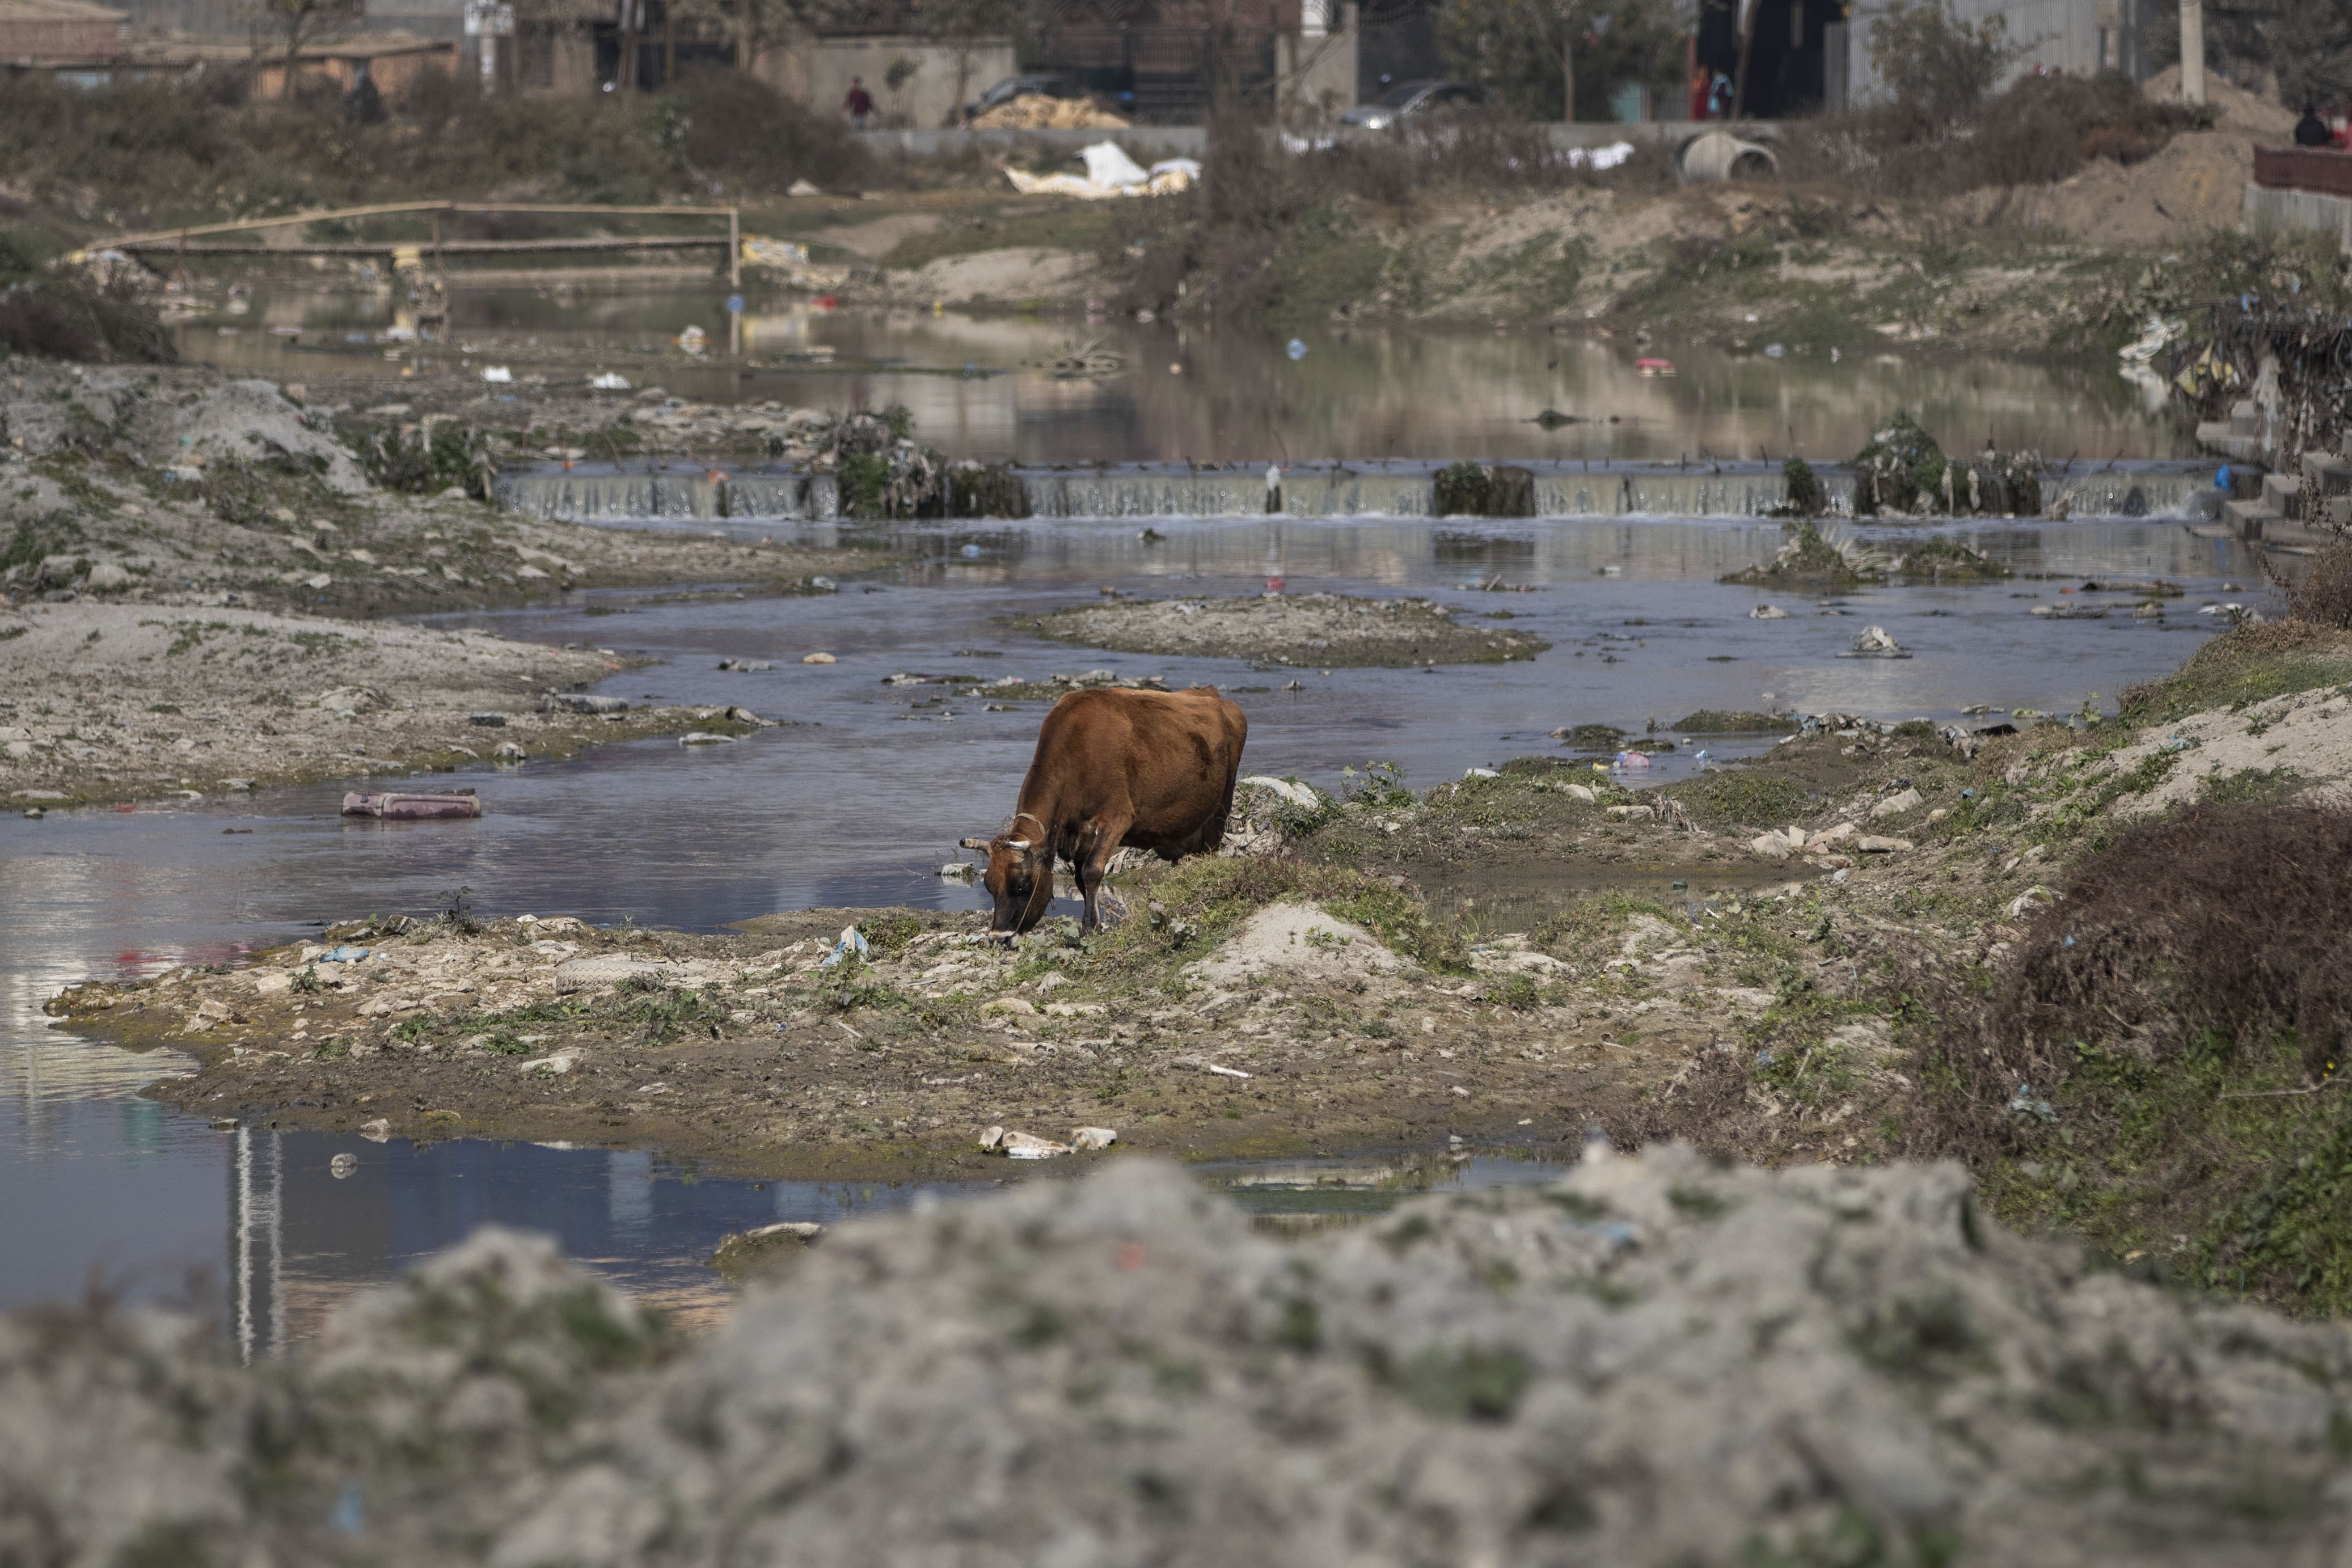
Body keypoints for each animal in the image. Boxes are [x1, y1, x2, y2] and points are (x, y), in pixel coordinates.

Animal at [959, 686, 1251, 931]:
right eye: (989, 886)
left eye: (1022, 885)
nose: (999, 937)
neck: (1076, 753)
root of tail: (1213, 695)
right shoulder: (1080, 834)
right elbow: (1080, 880)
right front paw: (1095, 924)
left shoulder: (1116, 819)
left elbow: (1092, 871)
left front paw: (1089, 926)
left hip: (1220, 809)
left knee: (1210, 854)